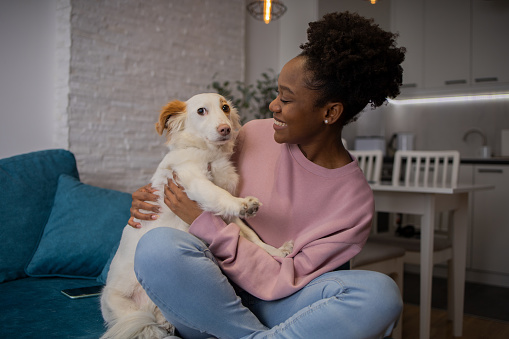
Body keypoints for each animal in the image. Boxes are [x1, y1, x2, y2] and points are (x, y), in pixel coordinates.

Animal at [99, 93, 292, 339]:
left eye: (225, 108)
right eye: (201, 111)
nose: (225, 129)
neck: (209, 153)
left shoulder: (228, 218)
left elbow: (251, 238)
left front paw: (277, 251)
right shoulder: (192, 180)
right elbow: (219, 194)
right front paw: (243, 204)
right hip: (130, 312)